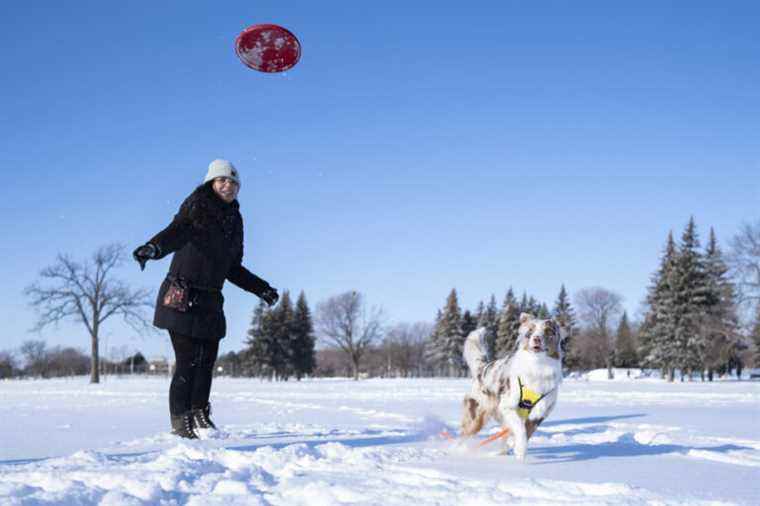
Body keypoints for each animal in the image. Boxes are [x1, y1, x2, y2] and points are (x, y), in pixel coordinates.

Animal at [458, 312, 564, 458]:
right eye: (529, 332)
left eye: (548, 331)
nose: (536, 339)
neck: (538, 366)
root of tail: (483, 369)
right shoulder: (507, 406)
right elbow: (520, 429)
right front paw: (519, 449)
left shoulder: (539, 415)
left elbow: (526, 432)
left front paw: (516, 449)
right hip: (476, 417)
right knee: (464, 434)